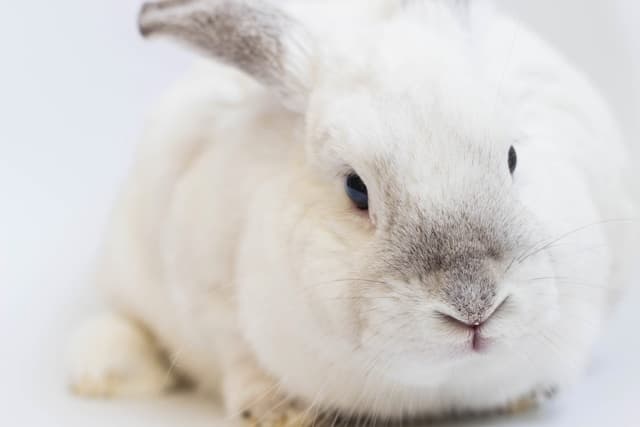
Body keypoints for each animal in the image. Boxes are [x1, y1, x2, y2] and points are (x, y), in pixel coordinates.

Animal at [67, 0, 637, 425]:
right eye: (356, 189)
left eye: (513, 157)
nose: (475, 306)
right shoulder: (205, 293)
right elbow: (238, 356)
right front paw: (278, 411)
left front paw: (528, 394)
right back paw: (100, 375)